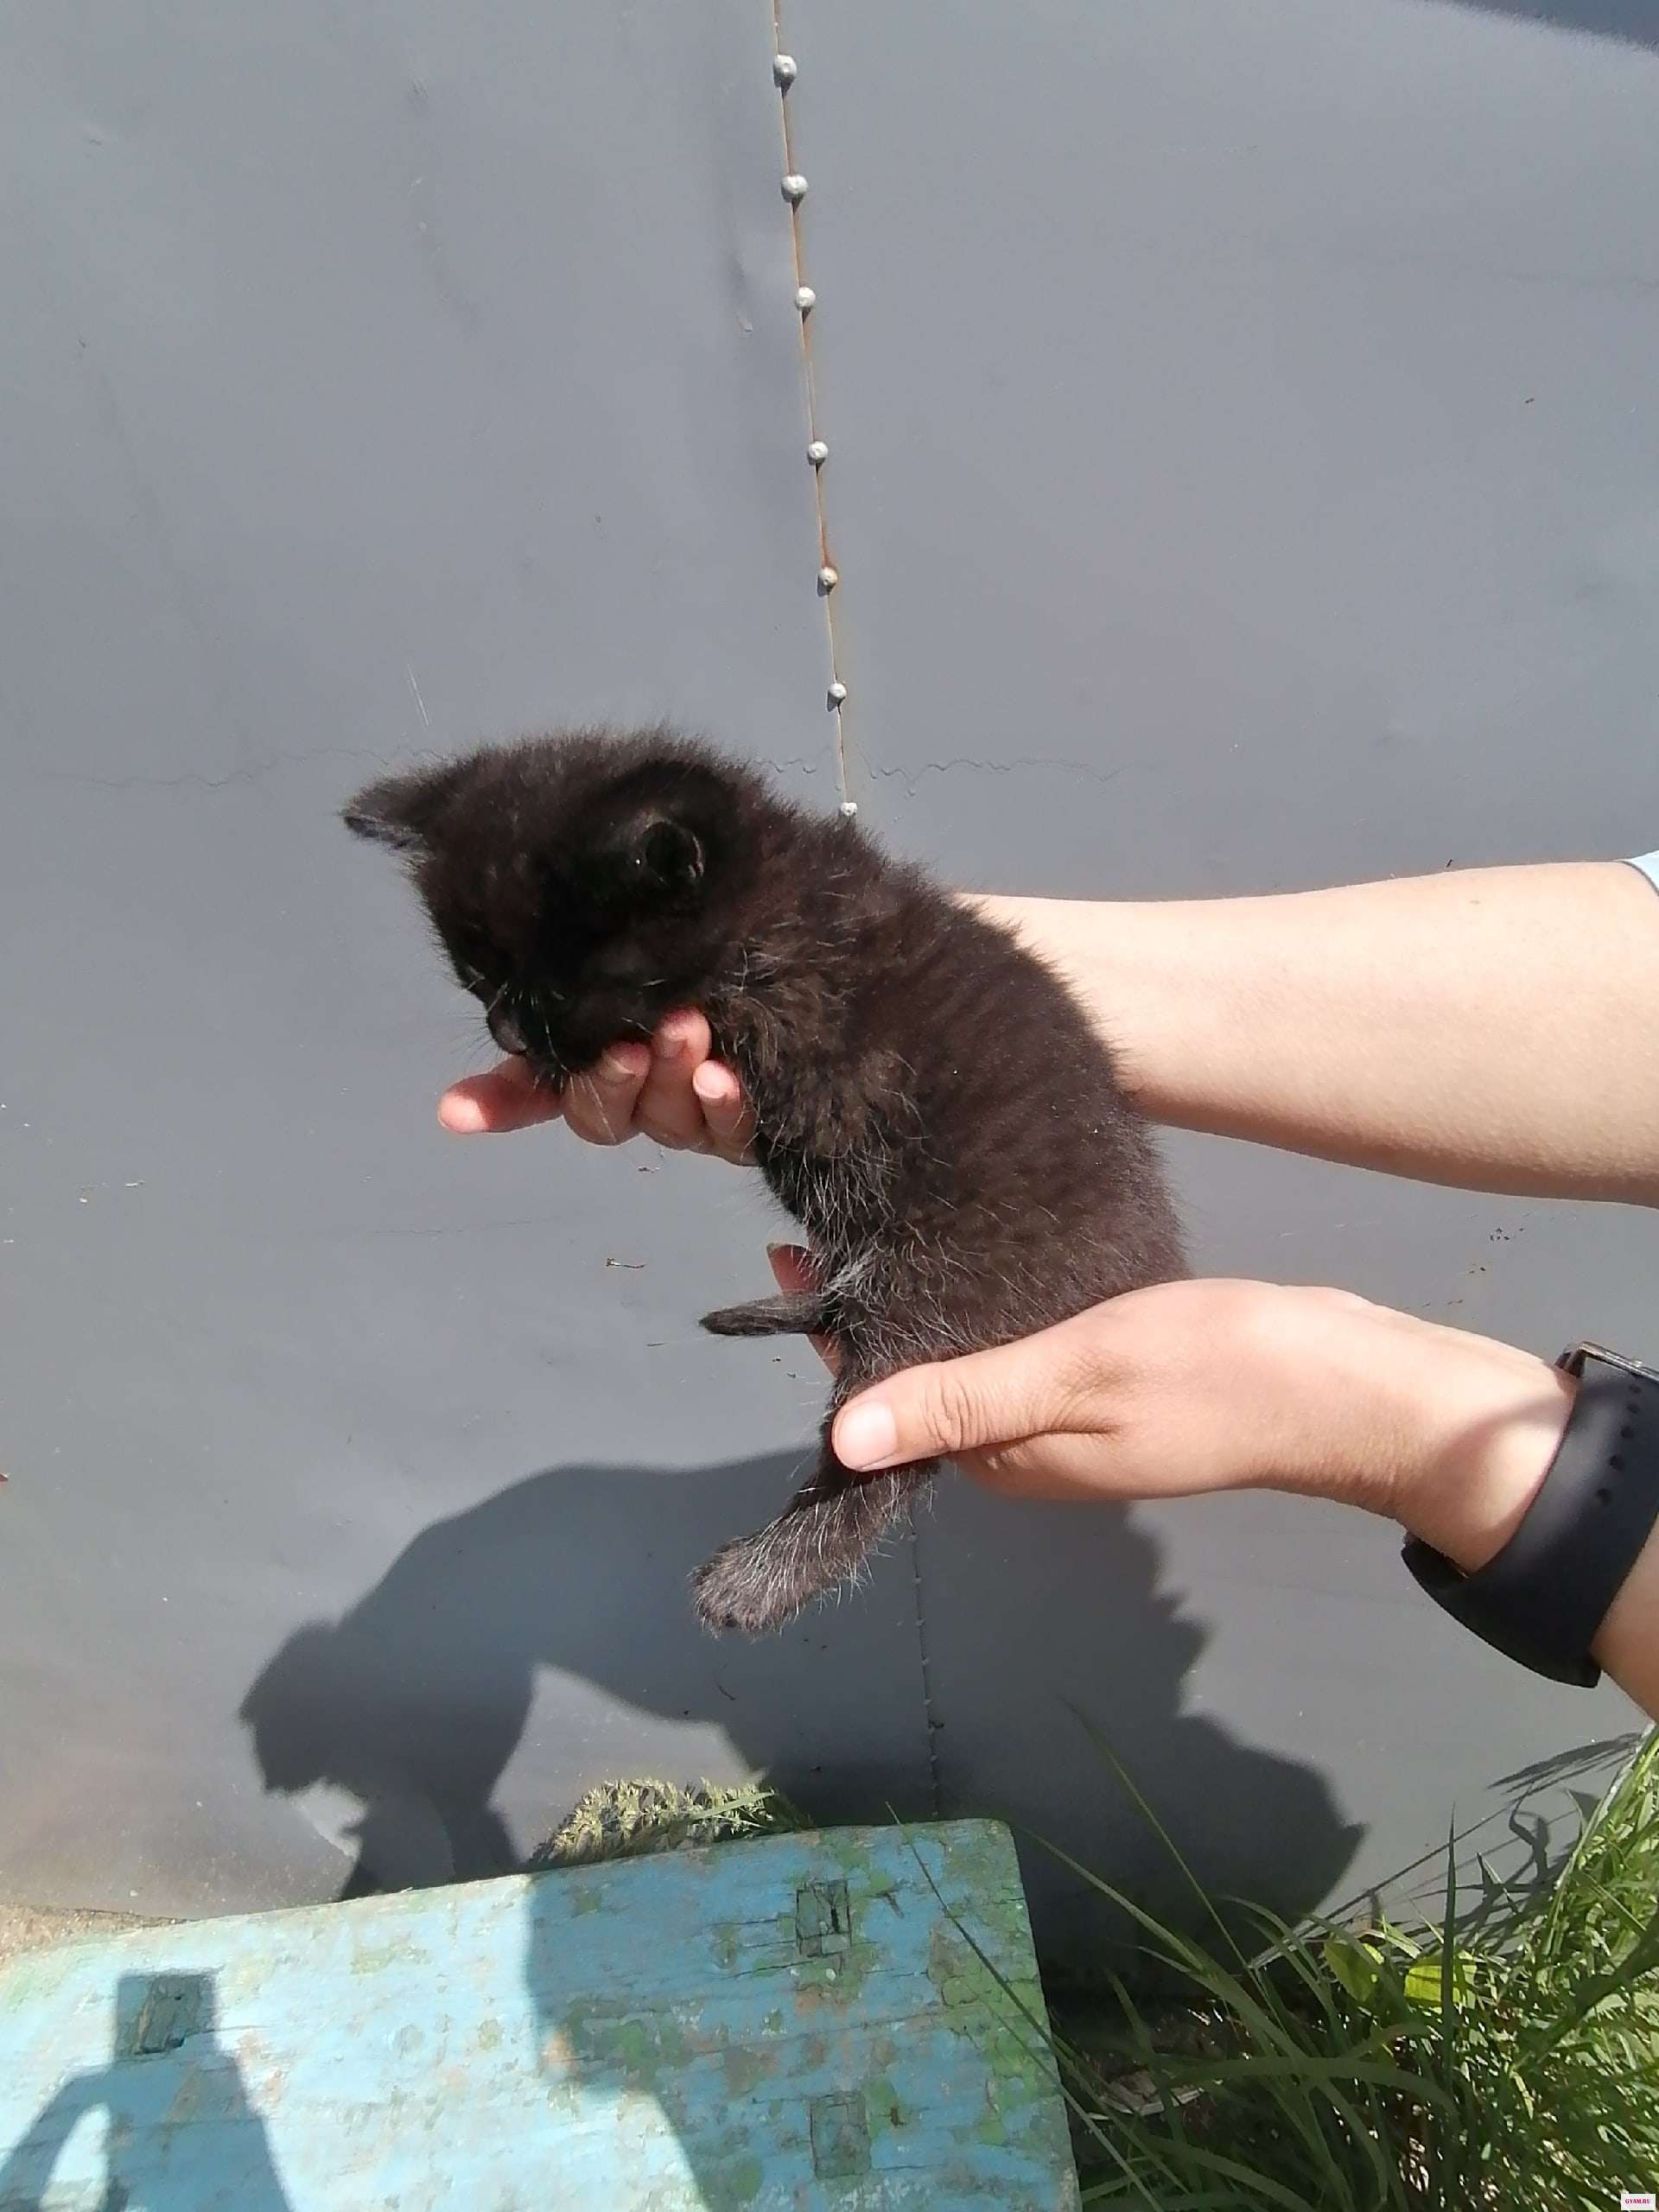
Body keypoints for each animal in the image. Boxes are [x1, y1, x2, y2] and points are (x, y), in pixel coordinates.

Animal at [344, 728, 1185, 1633]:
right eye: (477, 980)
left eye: (553, 994)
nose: (506, 1034)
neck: (772, 906)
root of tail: (1145, 1268)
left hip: (948, 1276)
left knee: (883, 1459)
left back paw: (755, 1582)